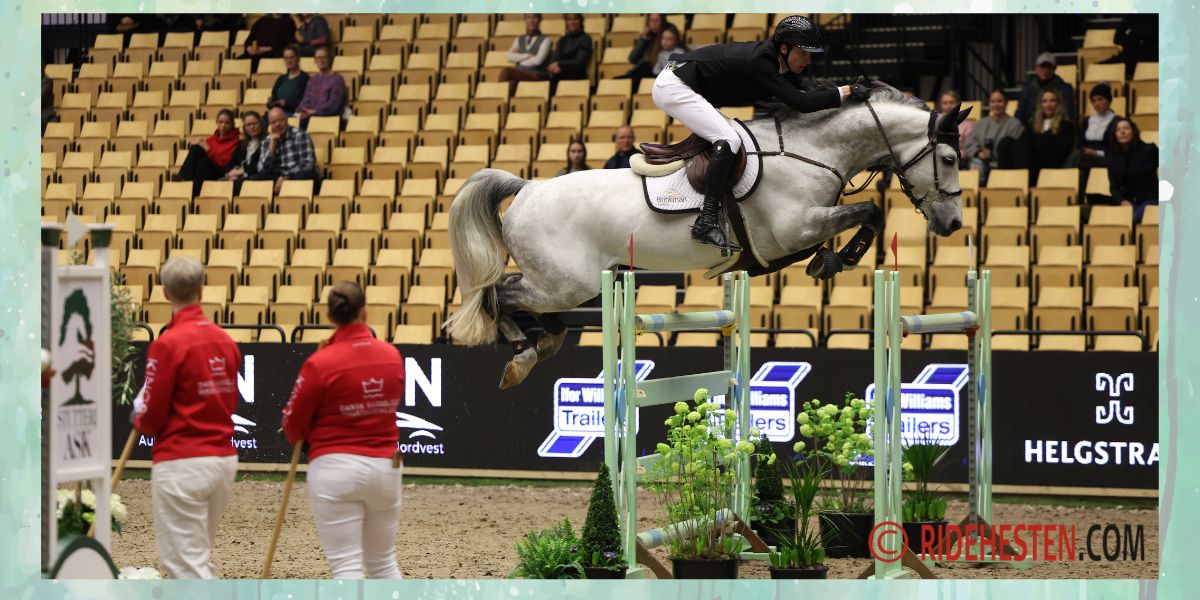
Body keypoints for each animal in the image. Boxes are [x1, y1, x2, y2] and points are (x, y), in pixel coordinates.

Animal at [445, 85, 971, 389]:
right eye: (948, 159)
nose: (953, 224)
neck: (811, 151)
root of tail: (528, 187)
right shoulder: (794, 228)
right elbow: (870, 210)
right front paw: (835, 260)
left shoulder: (796, 234)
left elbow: (868, 214)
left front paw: (829, 260)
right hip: (566, 282)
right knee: (499, 293)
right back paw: (522, 356)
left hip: (569, 284)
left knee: (517, 298)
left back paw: (545, 342)